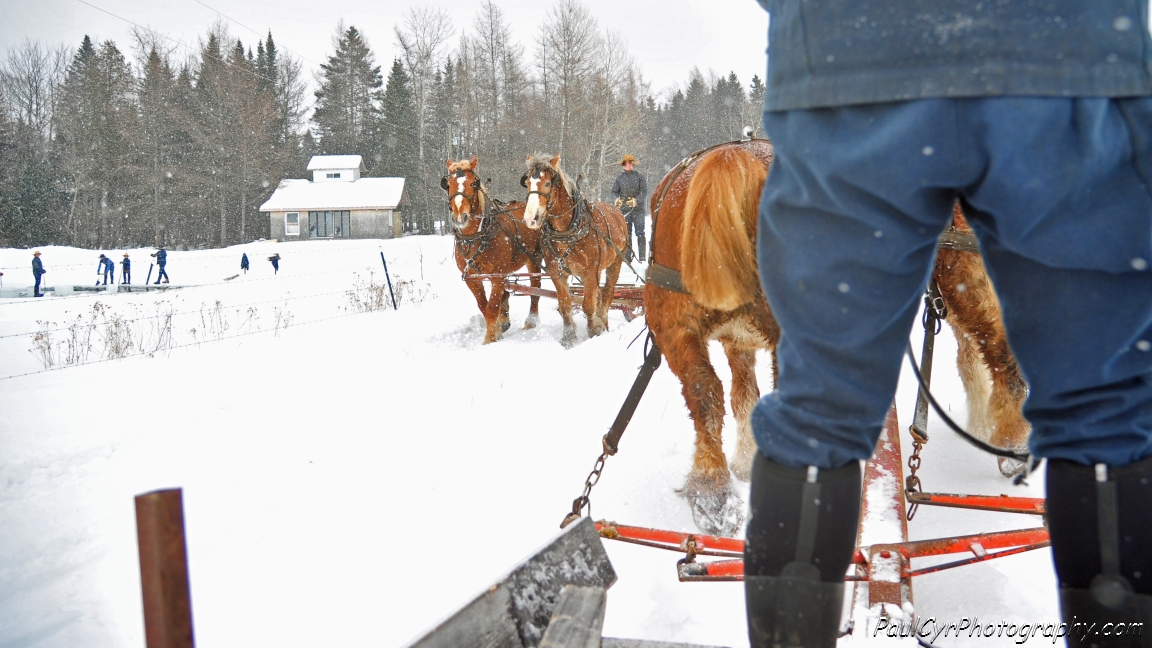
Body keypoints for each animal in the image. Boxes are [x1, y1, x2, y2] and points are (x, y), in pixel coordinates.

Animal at [444, 156, 543, 343]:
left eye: (473, 183)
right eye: (448, 184)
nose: (460, 216)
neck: (477, 237)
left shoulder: (497, 276)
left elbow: (492, 308)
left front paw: (489, 340)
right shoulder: (472, 278)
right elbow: (484, 306)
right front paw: (497, 329)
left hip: (534, 259)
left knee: (535, 289)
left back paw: (531, 322)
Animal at [525, 155, 631, 348]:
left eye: (547, 184)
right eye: (528, 182)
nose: (531, 219)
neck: (567, 232)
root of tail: (617, 212)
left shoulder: (590, 271)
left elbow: (588, 305)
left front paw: (594, 329)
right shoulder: (556, 272)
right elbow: (565, 304)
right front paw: (569, 337)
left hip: (615, 263)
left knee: (607, 293)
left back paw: (603, 321)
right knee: (599, 294)